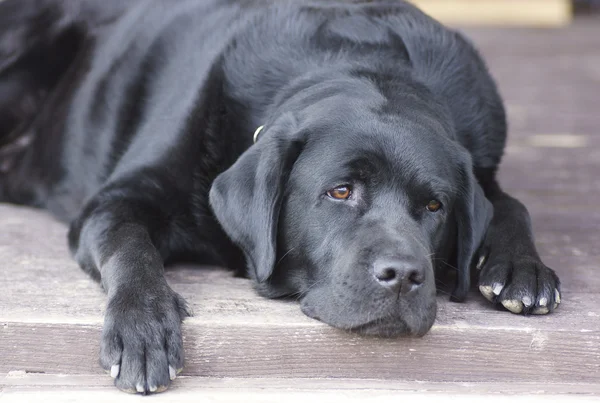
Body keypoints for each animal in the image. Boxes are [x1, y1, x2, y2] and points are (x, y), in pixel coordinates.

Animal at [1, 0, 564, 396]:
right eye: (340, 191)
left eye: (434, 207)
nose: (404, 275)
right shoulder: (117, 199)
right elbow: (130, 246)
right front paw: (141, 326)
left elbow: (511, 203)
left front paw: (523, 269)